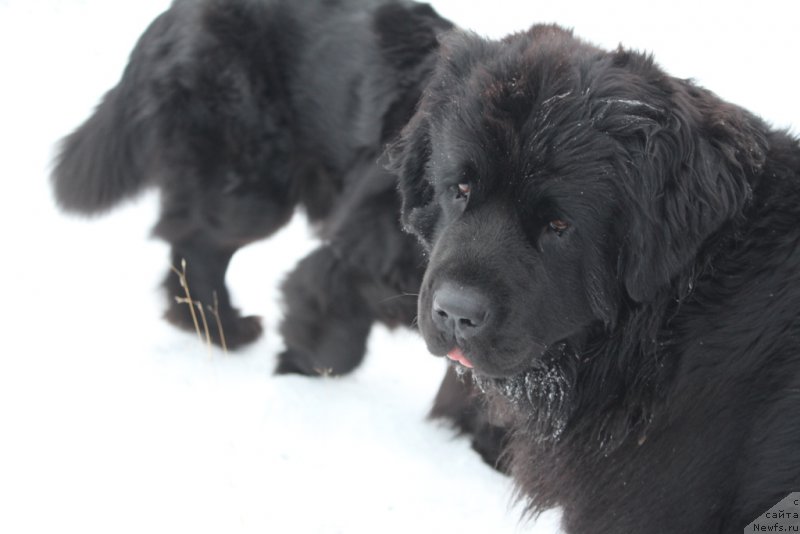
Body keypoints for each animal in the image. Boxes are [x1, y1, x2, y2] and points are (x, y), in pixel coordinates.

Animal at [54, 0, 454, 376]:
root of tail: (177, 11)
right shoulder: (357, 257)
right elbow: (331, 343)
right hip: (251, 187)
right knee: (196, 243)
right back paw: (223, 329)